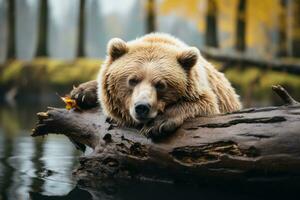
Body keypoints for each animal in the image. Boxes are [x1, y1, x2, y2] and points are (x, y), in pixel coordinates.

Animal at [71, 33, 241, 139]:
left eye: (161, 85)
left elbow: (204, 104)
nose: (142, 107)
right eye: (132, 80)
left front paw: (157, 124)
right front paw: (81, 93)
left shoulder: (207, 96)